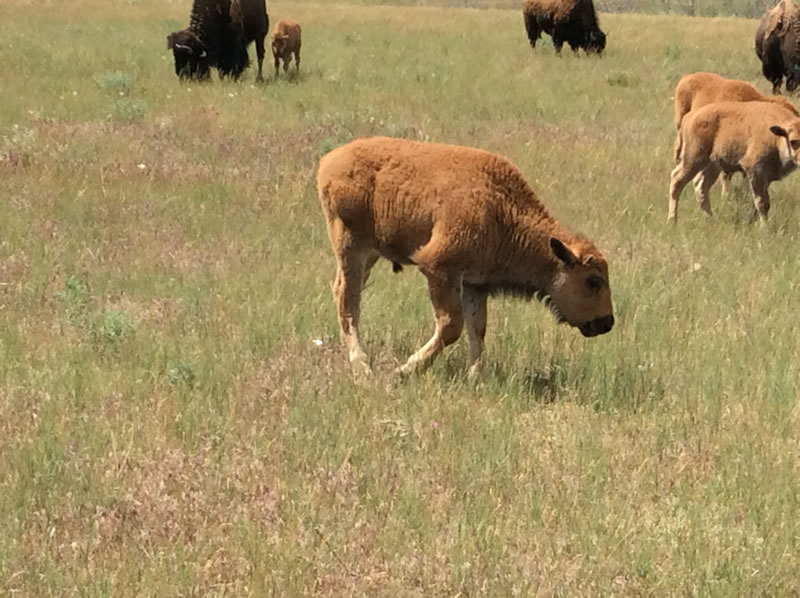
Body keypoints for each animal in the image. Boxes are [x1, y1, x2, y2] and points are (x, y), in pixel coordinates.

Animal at [317, 137, 614, 379]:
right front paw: (403, 371)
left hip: (369, 254)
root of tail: (329, 161)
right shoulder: (440, 269)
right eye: (593, 281)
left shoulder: (475, 284)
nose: (607, 323)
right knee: (349, 303)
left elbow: (477, 330)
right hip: (350, 247)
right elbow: (451, 326)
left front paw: (474, 378)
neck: (502, 210)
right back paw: (363, 368)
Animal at [669, 101, 800, 223]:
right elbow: (762, 203)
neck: (777, 138)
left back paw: (711, 219)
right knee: (677, 181)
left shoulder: (765, 178)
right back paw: (672, 220)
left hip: (712, 165)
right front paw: (764, 227)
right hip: (693, 159)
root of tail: (689, 116)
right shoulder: (755, 171)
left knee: (701, 186)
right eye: (793, 141)